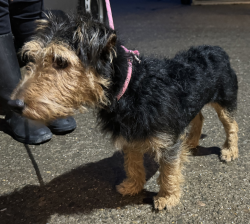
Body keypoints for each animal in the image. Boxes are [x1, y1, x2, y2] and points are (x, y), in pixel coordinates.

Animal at [9, 10, 238, 210]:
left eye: (60, 61)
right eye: (32, 58)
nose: (14, 105)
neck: (130, 89)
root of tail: (217, 49)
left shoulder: (167, 141)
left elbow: (168, 171)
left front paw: (167, 197)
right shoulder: (130, 137)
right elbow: (133, 164)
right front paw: (133, 186)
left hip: (225, 101)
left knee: (231, 126)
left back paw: (230, 151)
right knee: (198, 116)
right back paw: (191, 142)